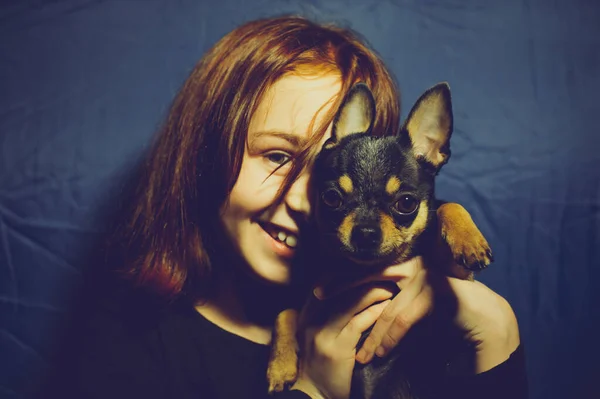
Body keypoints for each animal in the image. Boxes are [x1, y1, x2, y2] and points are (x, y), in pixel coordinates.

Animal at [268, 83, 492, 398]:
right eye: (331, 198)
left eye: (407, 203)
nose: (365, 232)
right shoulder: (306, 292)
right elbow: (284, 314)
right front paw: (281, 366)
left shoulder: (458, 275)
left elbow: (448, 206)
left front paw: (468, 240)